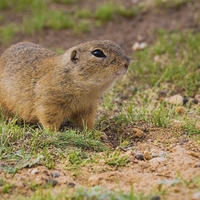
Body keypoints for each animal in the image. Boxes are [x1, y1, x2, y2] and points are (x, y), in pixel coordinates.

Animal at [0, 40, 130, 131]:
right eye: (97, 53)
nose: (127, 63)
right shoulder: (49, 102)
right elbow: (49, 119)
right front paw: (55, 133)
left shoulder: (88, 106)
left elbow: (86, 122)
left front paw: (95, 133)